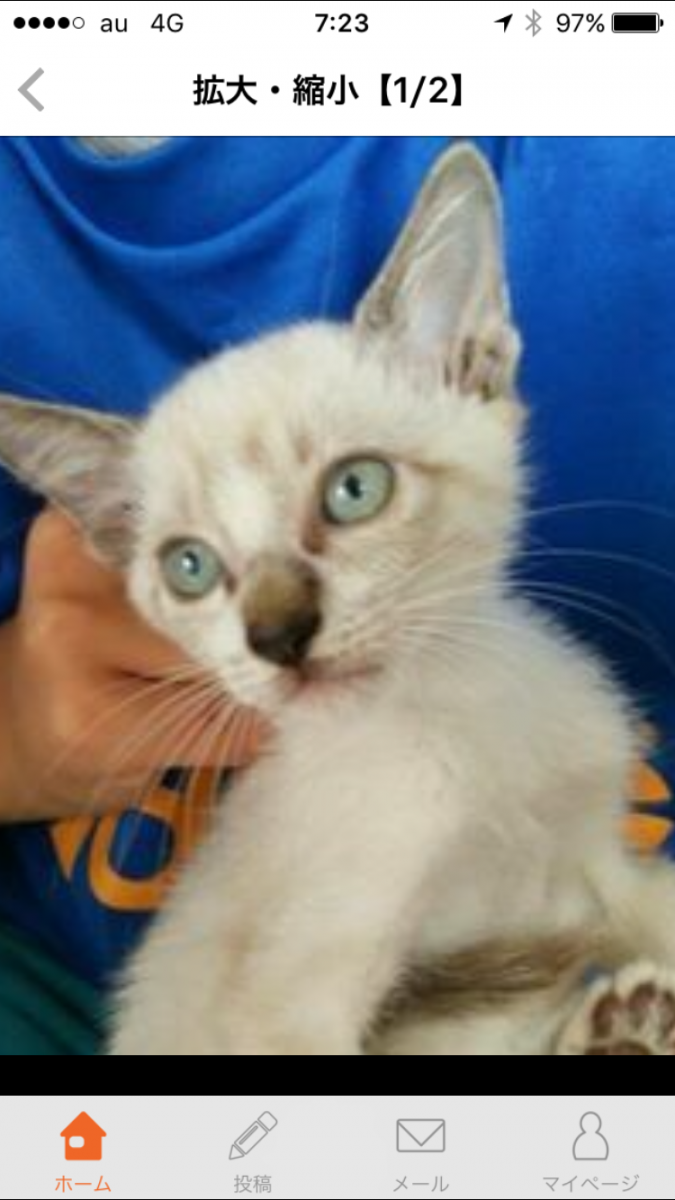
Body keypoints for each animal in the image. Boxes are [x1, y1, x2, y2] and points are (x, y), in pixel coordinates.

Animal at [2, 142, 675, 1055]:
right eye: (190, 568)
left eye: (354, 489)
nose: (278, 636)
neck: (447, 724)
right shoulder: (295, 1008)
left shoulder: (598, 860)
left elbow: (651, 908)